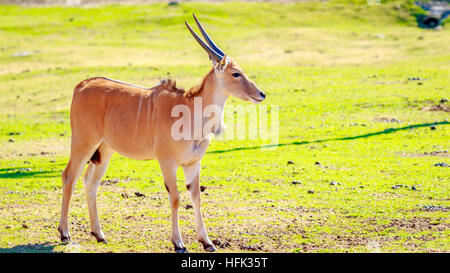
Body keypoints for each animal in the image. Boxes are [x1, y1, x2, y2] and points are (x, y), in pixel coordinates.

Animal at [58, 12, 266, 251]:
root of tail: (81, 85)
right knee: (69, 176)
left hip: (104, 151)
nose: (261, 93)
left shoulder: (193, 164)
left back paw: (99, 234)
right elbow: (175, 198)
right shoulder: (167, 162)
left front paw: (207, 242)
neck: (190, 111)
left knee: (90, 182)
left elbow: (196, 197)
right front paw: (178, 242)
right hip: (83, 143)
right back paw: (65, 234)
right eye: (236, 74)